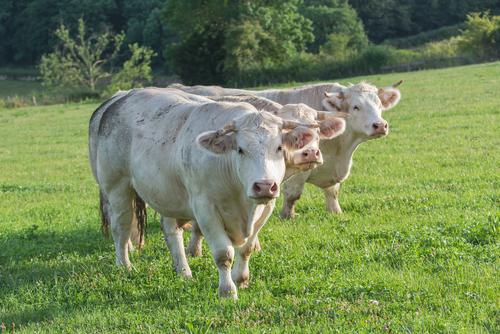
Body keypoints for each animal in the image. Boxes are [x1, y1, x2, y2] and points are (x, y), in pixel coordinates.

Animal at [88, 88, 322, 298]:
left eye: (279, 148)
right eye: (240, 149)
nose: (264, 185)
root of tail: (119, 100)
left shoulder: (266, 208)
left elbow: (246, 248)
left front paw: (241, 279)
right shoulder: (205, 209)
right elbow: (223, 254)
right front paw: (227, 291)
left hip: (166, 192)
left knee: (171, 232)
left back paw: (183, 271)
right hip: (117, 188)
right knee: (121, 228)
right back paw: (124, 265)